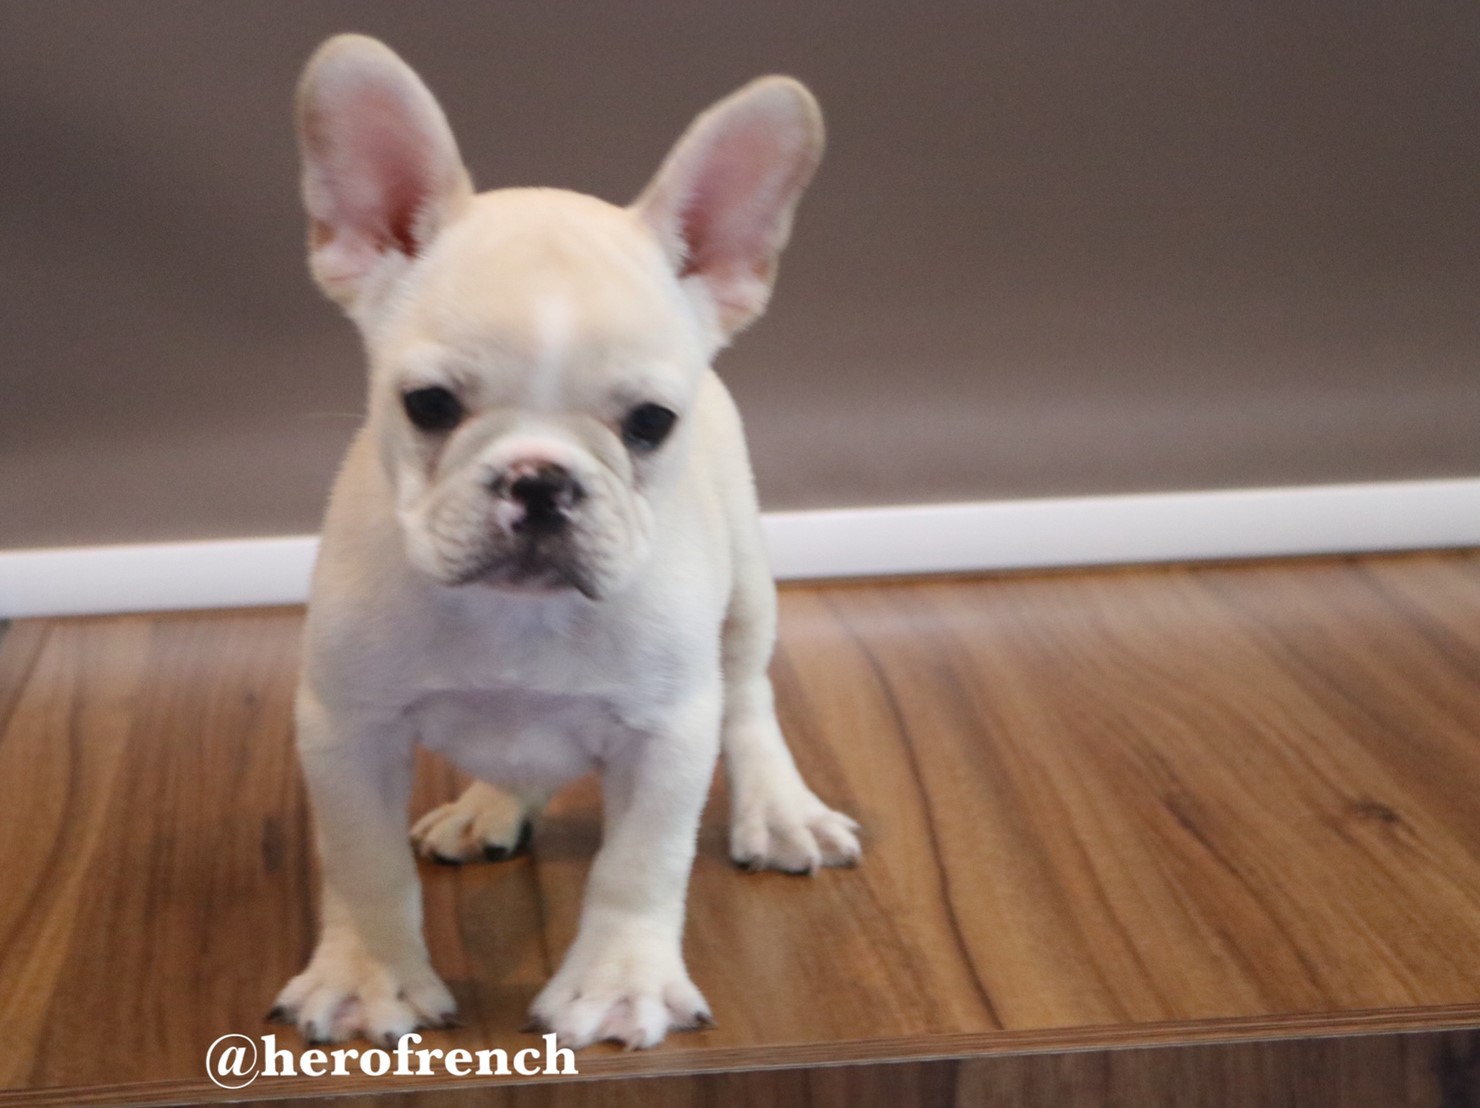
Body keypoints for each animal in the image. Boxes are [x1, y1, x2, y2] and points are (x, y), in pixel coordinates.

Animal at [270, 34, 861, 1050]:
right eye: (428, 405)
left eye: (652, 422)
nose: (540, 479)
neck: (519, 620)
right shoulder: (347, 727)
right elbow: (362, 862)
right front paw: (369, 976)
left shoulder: (668, 734)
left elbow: (640, 865)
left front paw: (621, 982)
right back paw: (487, 808)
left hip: (747, 595)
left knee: (749, 697)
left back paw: (782, 811)